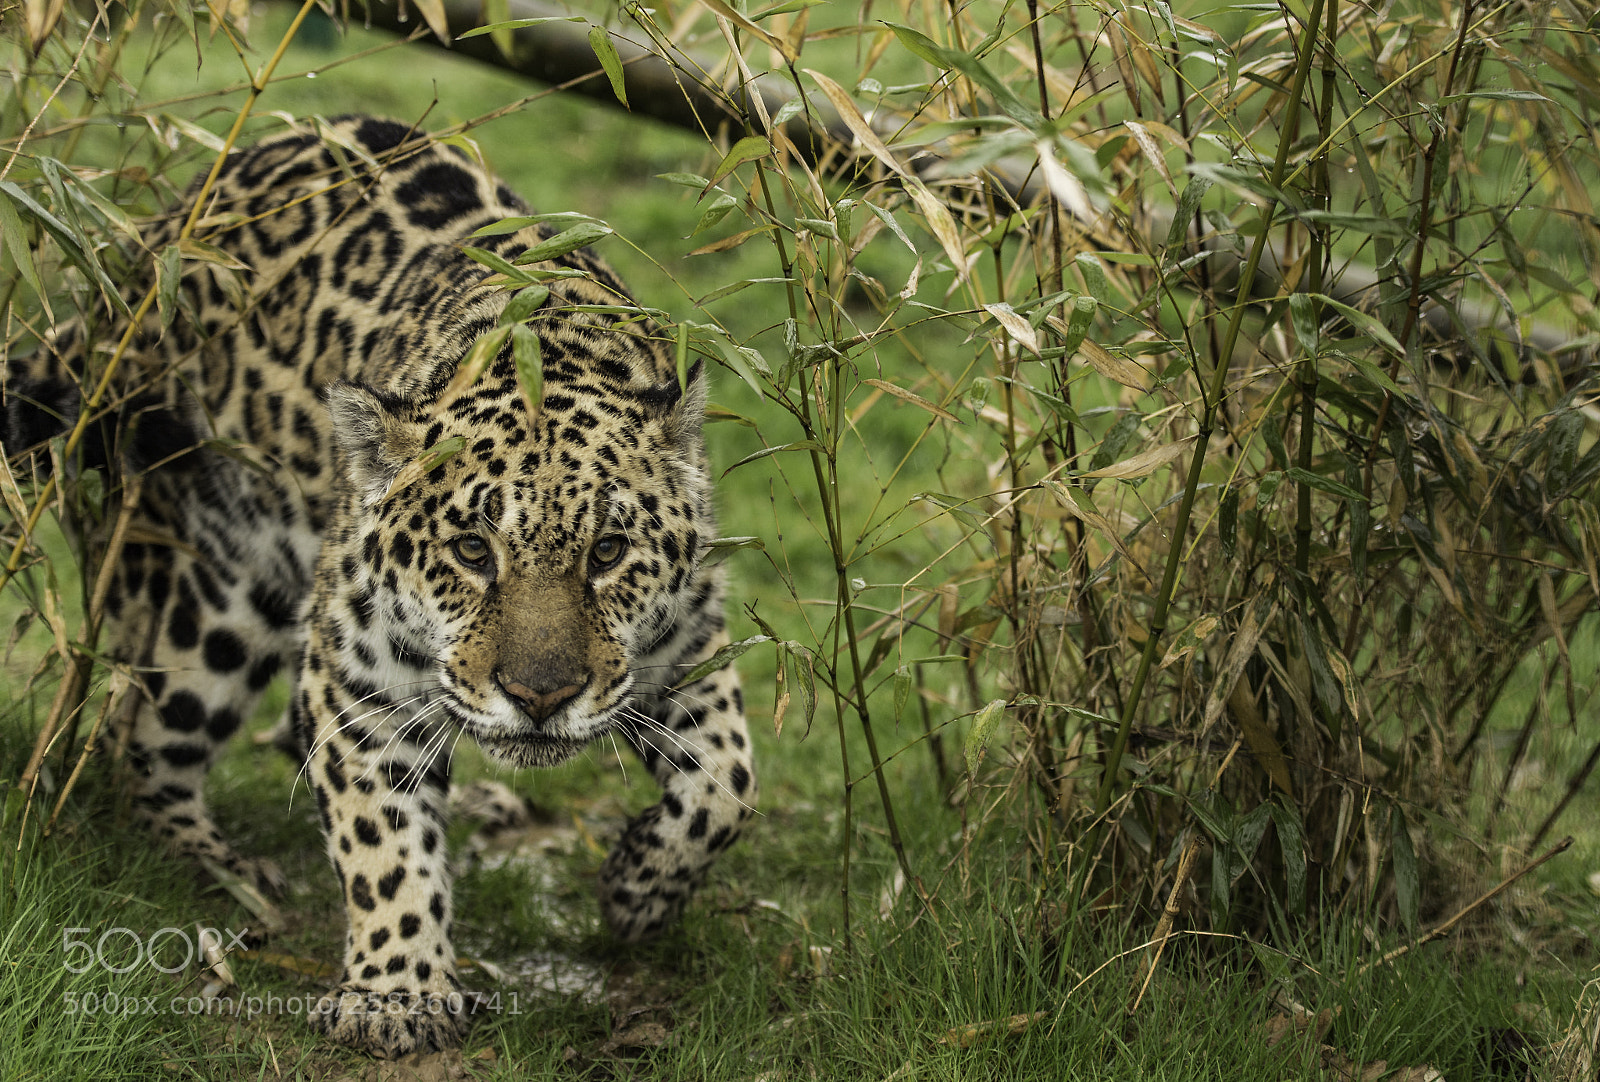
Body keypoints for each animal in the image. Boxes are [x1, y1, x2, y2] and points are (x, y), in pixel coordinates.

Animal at [1, 115, 755, 1058]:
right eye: (471, 550)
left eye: (610, 551)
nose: (538, 699)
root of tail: (134, 256)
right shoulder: (361, 685)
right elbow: (381, 840)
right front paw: (396, 993)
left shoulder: (690, 650)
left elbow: (724, 784)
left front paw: (635, 895)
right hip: (198, 596)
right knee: (135, 742)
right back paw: (220, 871)